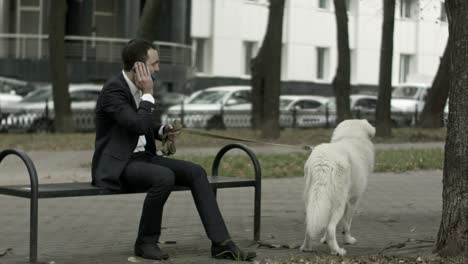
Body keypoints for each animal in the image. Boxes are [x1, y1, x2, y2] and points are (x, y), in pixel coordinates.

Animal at [302, 119, 374, 256]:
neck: (350, 137)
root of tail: (323, 161)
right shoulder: (352, 201)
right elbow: (346, 225)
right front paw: (348, 240)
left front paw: (324, 240)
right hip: (338, 203)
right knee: (331, 228)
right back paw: (337, 251)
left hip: (313, 199)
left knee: (310, 223)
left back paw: (306, 247)